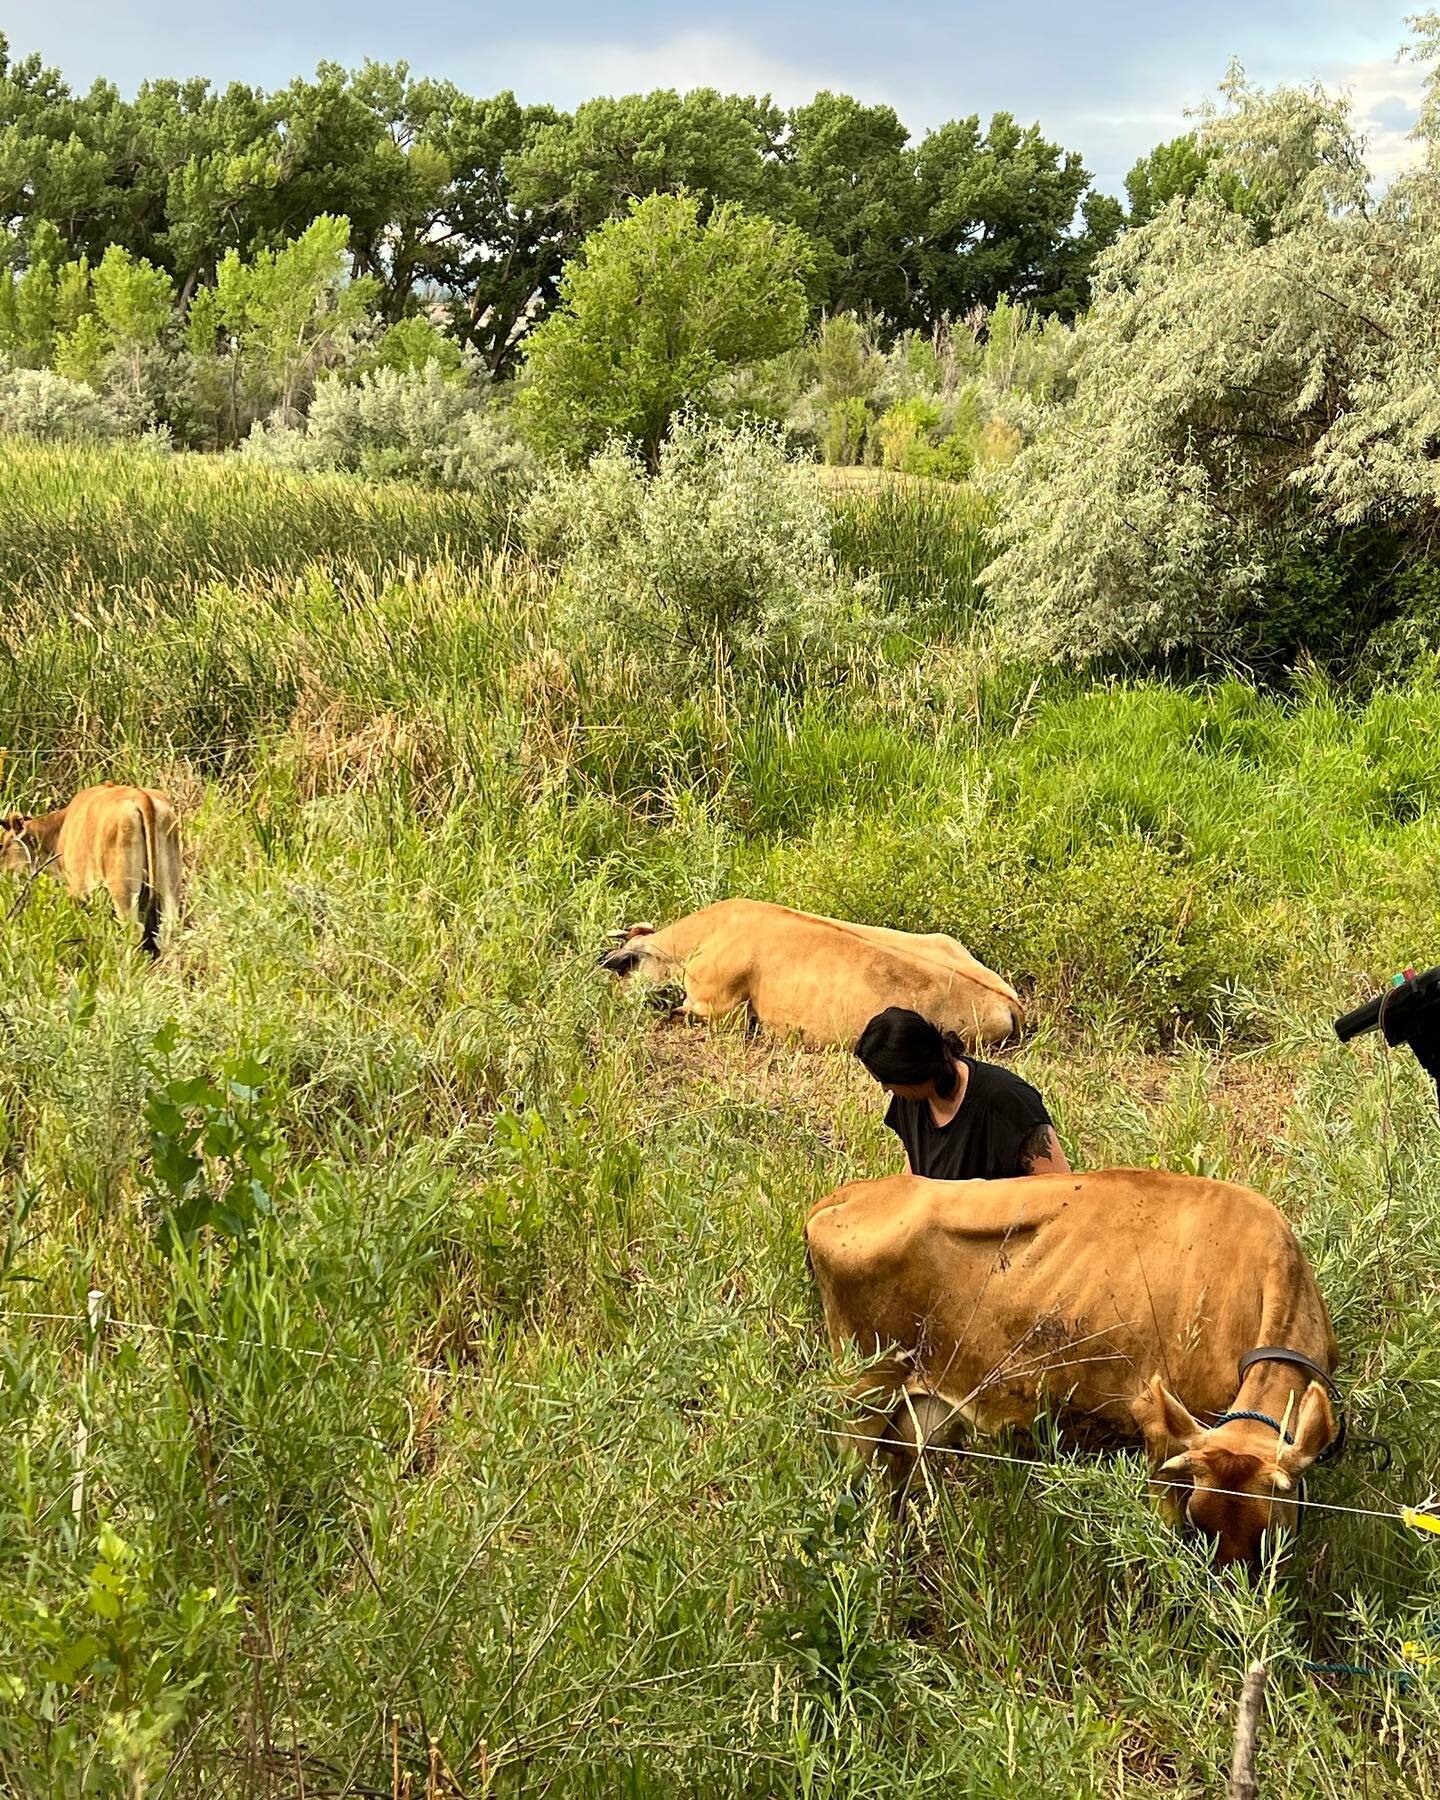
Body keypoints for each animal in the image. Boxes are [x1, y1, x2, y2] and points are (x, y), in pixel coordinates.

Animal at [0, 784, 182, 957]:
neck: (59, 830)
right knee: (169, 927)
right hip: (170, 885)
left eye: (2, 845)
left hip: (122, 889)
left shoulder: (77, 889)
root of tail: (140, 796)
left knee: (133, 930)